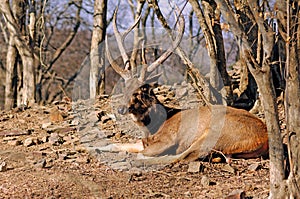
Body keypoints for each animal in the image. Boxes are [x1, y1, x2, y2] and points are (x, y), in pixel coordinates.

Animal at [98, 7, 270, 165]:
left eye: (142, 90)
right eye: (124, 87)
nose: (121, 109)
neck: (152, 129)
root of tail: (265, 138)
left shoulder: (168, 139)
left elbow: (143, 153)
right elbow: (115, 144)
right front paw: (95, 148)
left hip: (216, 133)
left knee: (185, 155)